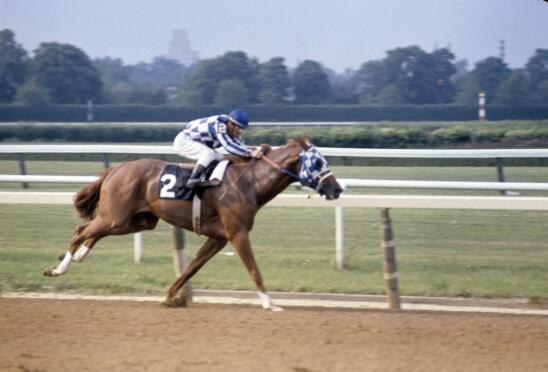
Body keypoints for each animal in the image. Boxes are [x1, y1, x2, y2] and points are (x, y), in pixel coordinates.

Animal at [42, 138, 342, 310]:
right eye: (318, 162)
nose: (337, 188)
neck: (248, 182)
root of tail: (116, 168)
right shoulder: (237, 233)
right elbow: (254, 269)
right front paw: (270, 303)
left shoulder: (219, 238)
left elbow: (191, 268)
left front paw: (170, 296)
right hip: (117, 216)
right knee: (81, 230)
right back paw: (58, 268)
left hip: (134, 221)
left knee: (92, 233)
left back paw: (78, 256)